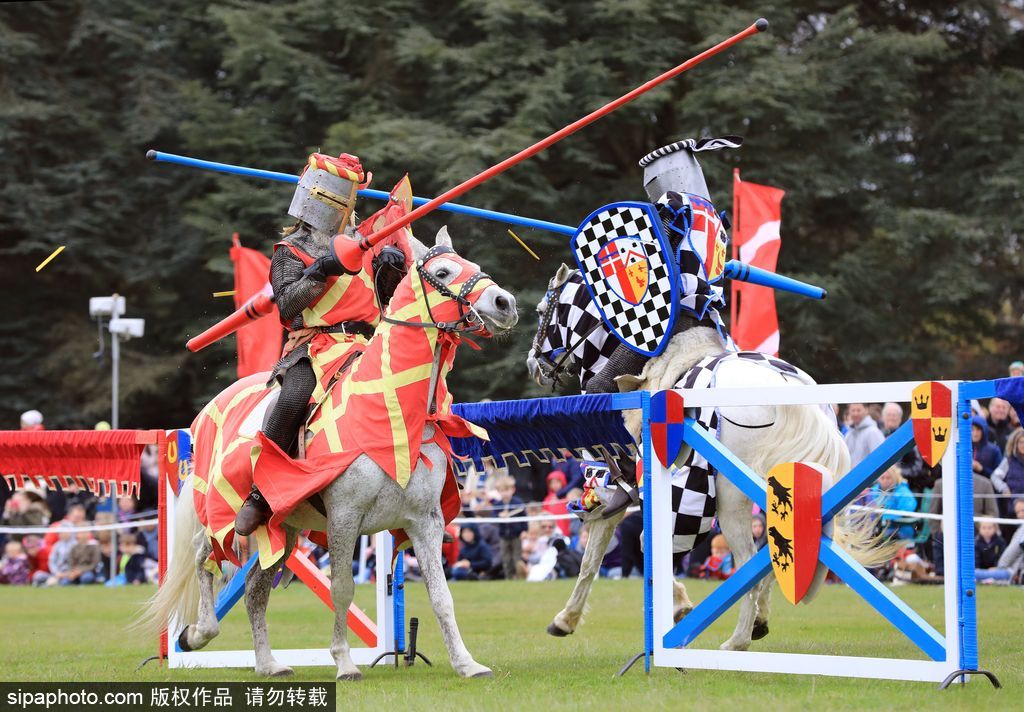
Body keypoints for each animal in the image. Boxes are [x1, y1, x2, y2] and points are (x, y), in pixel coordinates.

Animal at [140, 228, 516, 680]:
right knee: (203, 557)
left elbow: (442, 595)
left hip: (283, 528)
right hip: (222, 512)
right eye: (442, 272)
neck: (391, 412)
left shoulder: (426, 521)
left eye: (474, 265)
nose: (505, 303)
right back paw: (198, 633)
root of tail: (208, 411)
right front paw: (345, 663)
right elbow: (341, 589)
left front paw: (466, 663)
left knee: (255, 590)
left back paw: (267, 663)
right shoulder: (344, 517)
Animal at [524, 266, 884, 651]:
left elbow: (611, 554)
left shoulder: (612, 492)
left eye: (543, 310)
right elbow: (607, 558)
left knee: (746, 563)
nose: (534, 364)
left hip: (729, 501)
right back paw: (757, 622)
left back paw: (736, 641)